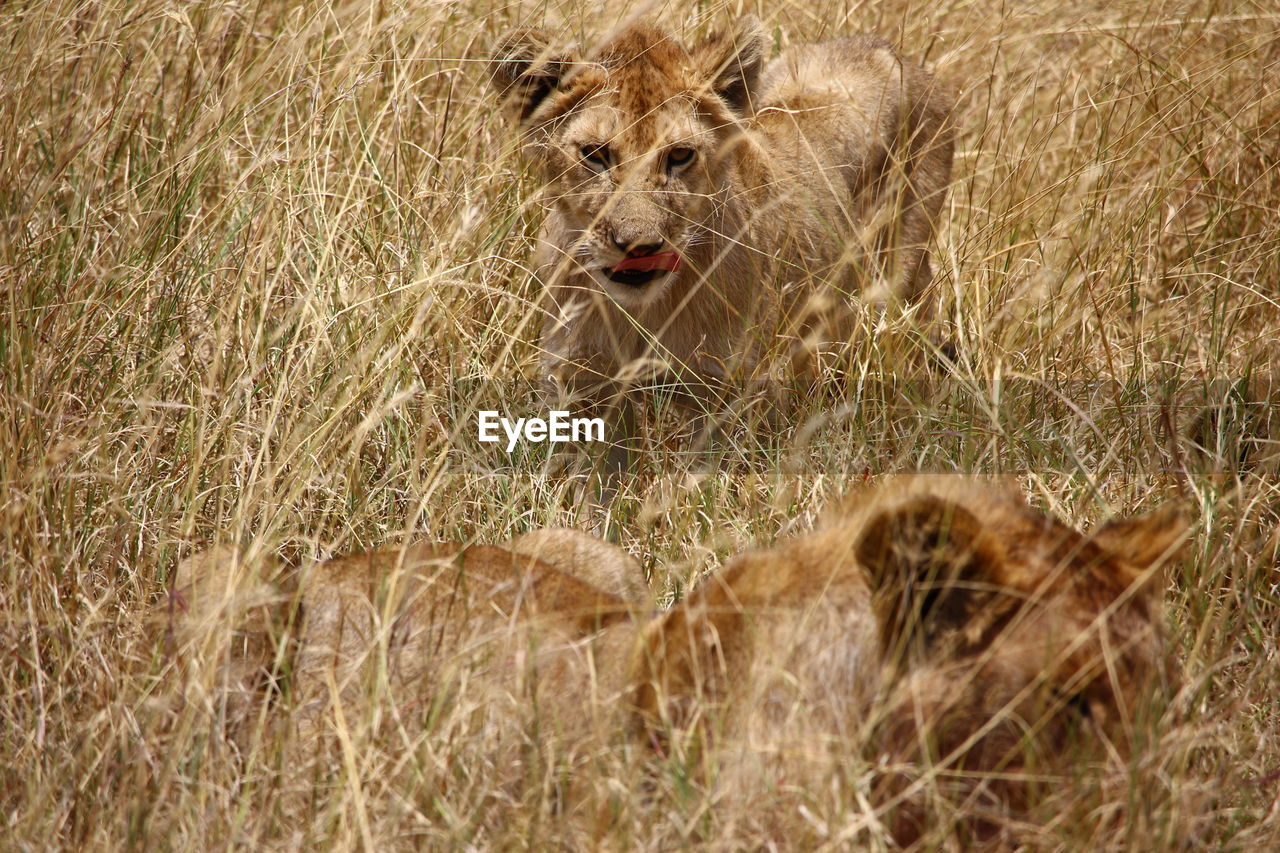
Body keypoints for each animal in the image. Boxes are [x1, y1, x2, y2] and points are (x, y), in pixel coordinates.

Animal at [488, 18, 952, 404]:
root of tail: (884, 45)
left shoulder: (720, 388)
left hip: (900, 269)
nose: (639, 247)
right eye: (595, 154)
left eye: (679, 156)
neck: (641, 312)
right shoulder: (579, 381)